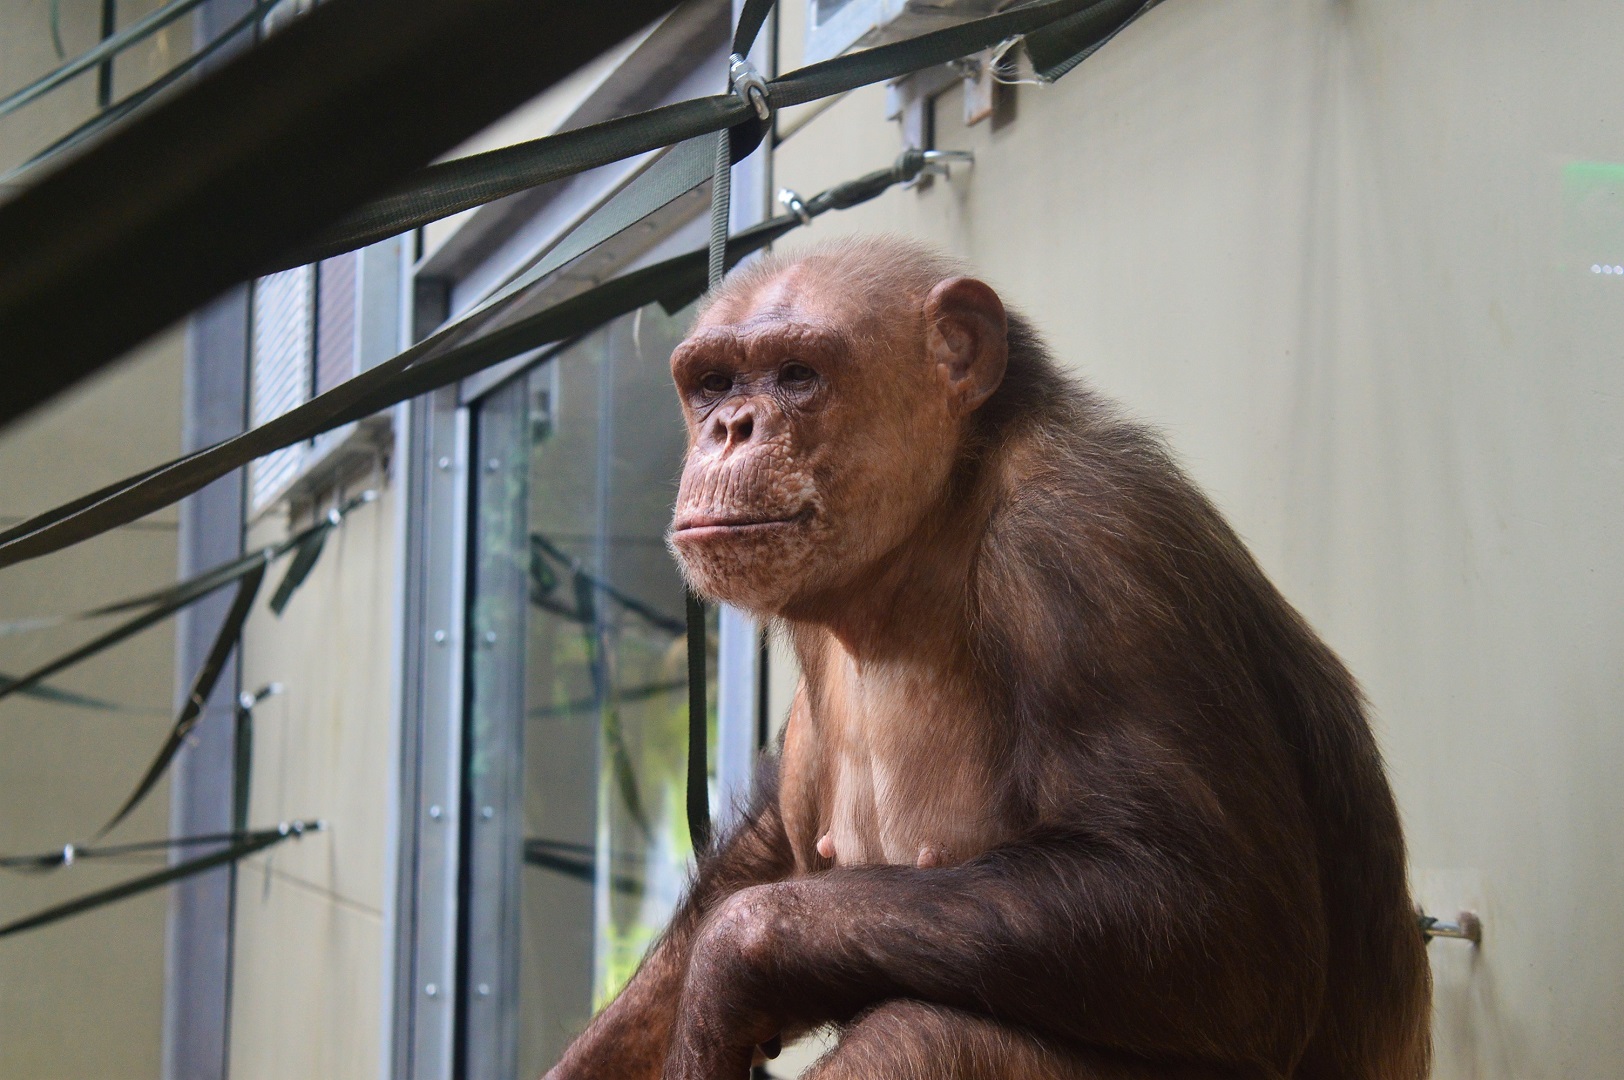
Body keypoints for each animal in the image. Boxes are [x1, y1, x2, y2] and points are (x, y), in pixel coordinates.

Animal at [544, 236, 1430, 1080]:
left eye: (797, 374)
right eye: (713, 381)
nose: (730, 426)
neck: (933, 529)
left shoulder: (1086, 549)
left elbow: (1212, 912)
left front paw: (725, 974)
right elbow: (766, 847)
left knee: (925, 1039)